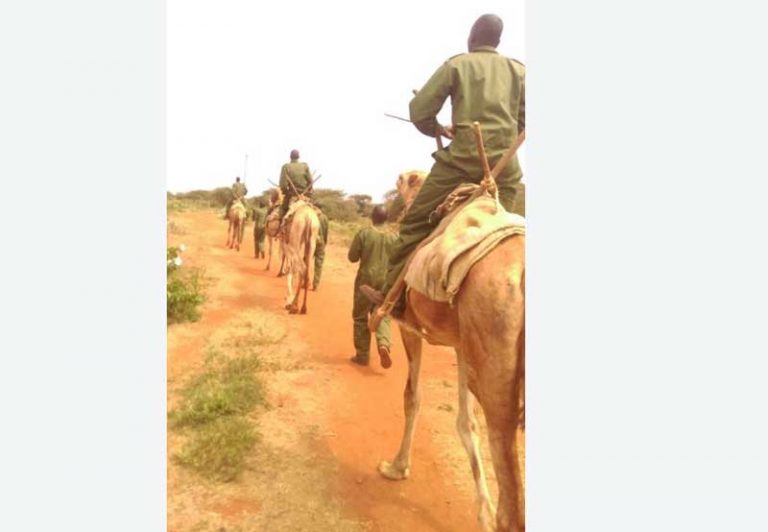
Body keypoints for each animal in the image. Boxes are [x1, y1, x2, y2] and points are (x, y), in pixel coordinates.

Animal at [376, 126, 526, 532]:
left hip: (499, 379)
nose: (383, 207)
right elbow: (464, 422)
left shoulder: (410, 329)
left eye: (403, 182)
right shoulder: (462, 344)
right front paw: (481, 512)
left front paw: (396, 466)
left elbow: (412, 397)